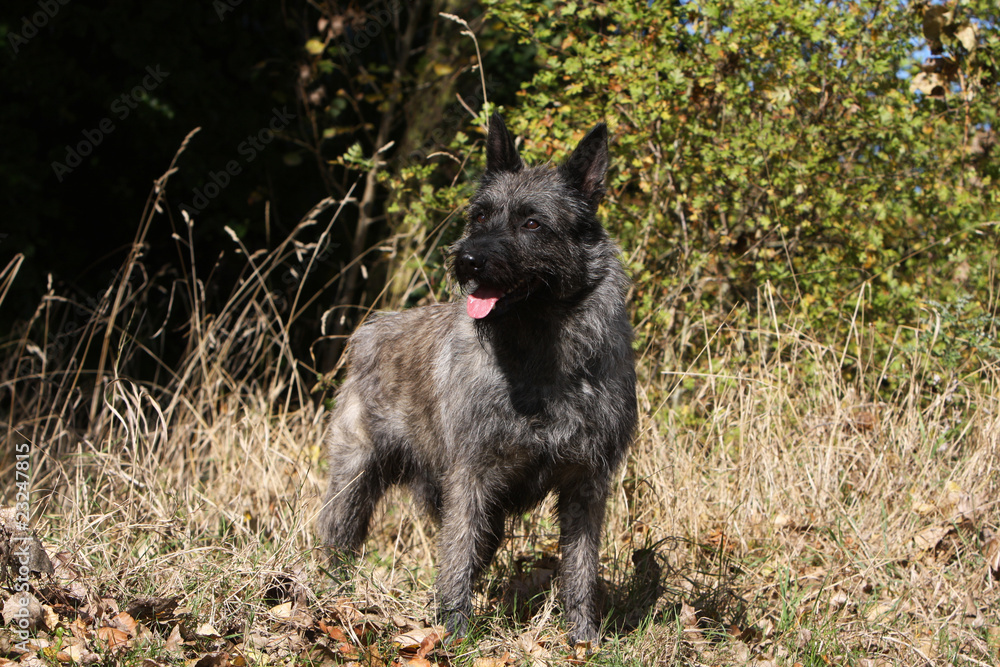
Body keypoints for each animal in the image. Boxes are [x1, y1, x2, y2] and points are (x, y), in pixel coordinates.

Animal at [316, 112, 636, 644]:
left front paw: (582, 639)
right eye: (480, 216)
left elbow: (581, 568)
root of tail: (371, 328)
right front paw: (453, 633)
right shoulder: (471, 477)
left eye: (532, 223)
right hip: (354, 480)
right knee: (340, 543)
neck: (539, 362)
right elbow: (456, 559)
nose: (467, 259)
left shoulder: (585, 484)